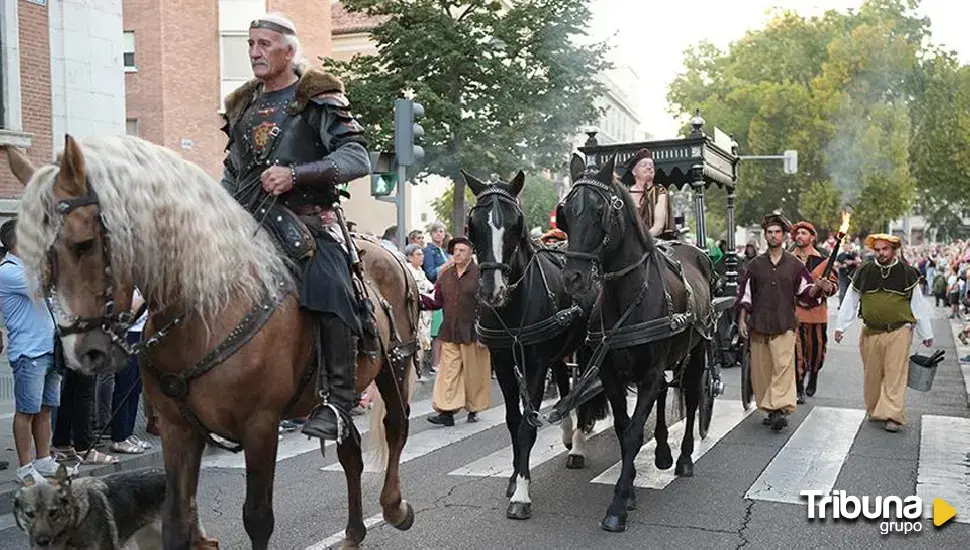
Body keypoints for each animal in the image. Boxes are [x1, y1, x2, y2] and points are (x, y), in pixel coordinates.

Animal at [460, 171, 604, 520]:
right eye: (473, 224)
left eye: (516, 223)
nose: (493, 290)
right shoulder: (503, 364)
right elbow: (514, 422)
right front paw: (514, 478)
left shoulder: (535, 367)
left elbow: (528, 426)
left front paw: (522, 495)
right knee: (565, 388)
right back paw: (566, 431)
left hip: (587, 346)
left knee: (583, 393)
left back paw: (578, 445)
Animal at [552, 154, 712, 536]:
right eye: (566, 212)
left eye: (600, 211)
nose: (573, 278)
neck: (628, 297)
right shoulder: (612, 375)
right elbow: (626, 428)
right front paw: (631, 489)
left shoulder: (651, 371)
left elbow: (635, 433)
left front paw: (617, 506)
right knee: (661, 400)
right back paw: (664, 453)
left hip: (697, 351)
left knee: (693, 398)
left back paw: (684, 458)